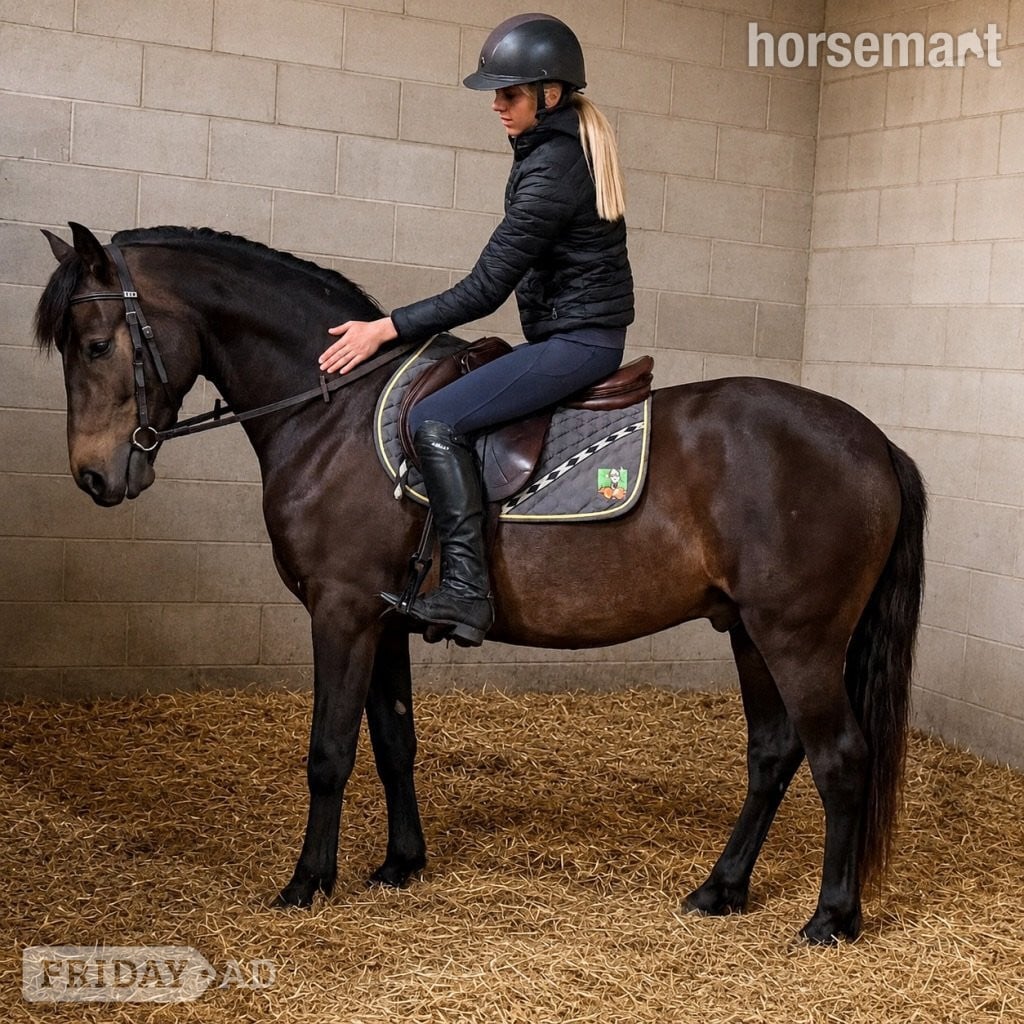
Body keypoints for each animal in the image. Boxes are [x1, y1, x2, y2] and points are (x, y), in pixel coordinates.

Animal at [34, 222, 926, 944]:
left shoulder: (341, 610)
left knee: (840, 758)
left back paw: (832, 917)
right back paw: (721, 890)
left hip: (798, 637)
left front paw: (308, 882)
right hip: (746, 628)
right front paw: (400, 864)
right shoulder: (383, 619)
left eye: (96, 345)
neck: (331, 415)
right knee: (773, 754)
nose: (93, 477)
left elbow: (329, 751)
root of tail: (872, 440)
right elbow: (393, 743)